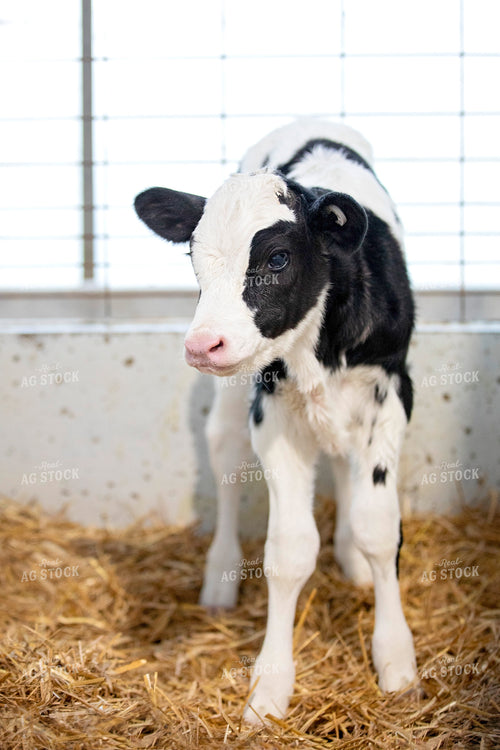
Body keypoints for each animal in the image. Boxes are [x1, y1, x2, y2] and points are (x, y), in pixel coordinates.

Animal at [134, 118, 417, 724]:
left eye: (278, 258)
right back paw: (220, 578)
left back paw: (351, 561)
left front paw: (396, 659)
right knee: (223, 459)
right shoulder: (271, 415)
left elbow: (379, 527)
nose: (202, 344)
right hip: (231, 410)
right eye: (194, 257)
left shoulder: (391, 392)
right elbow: (288, 551)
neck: (318, 348)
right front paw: (270, 686)